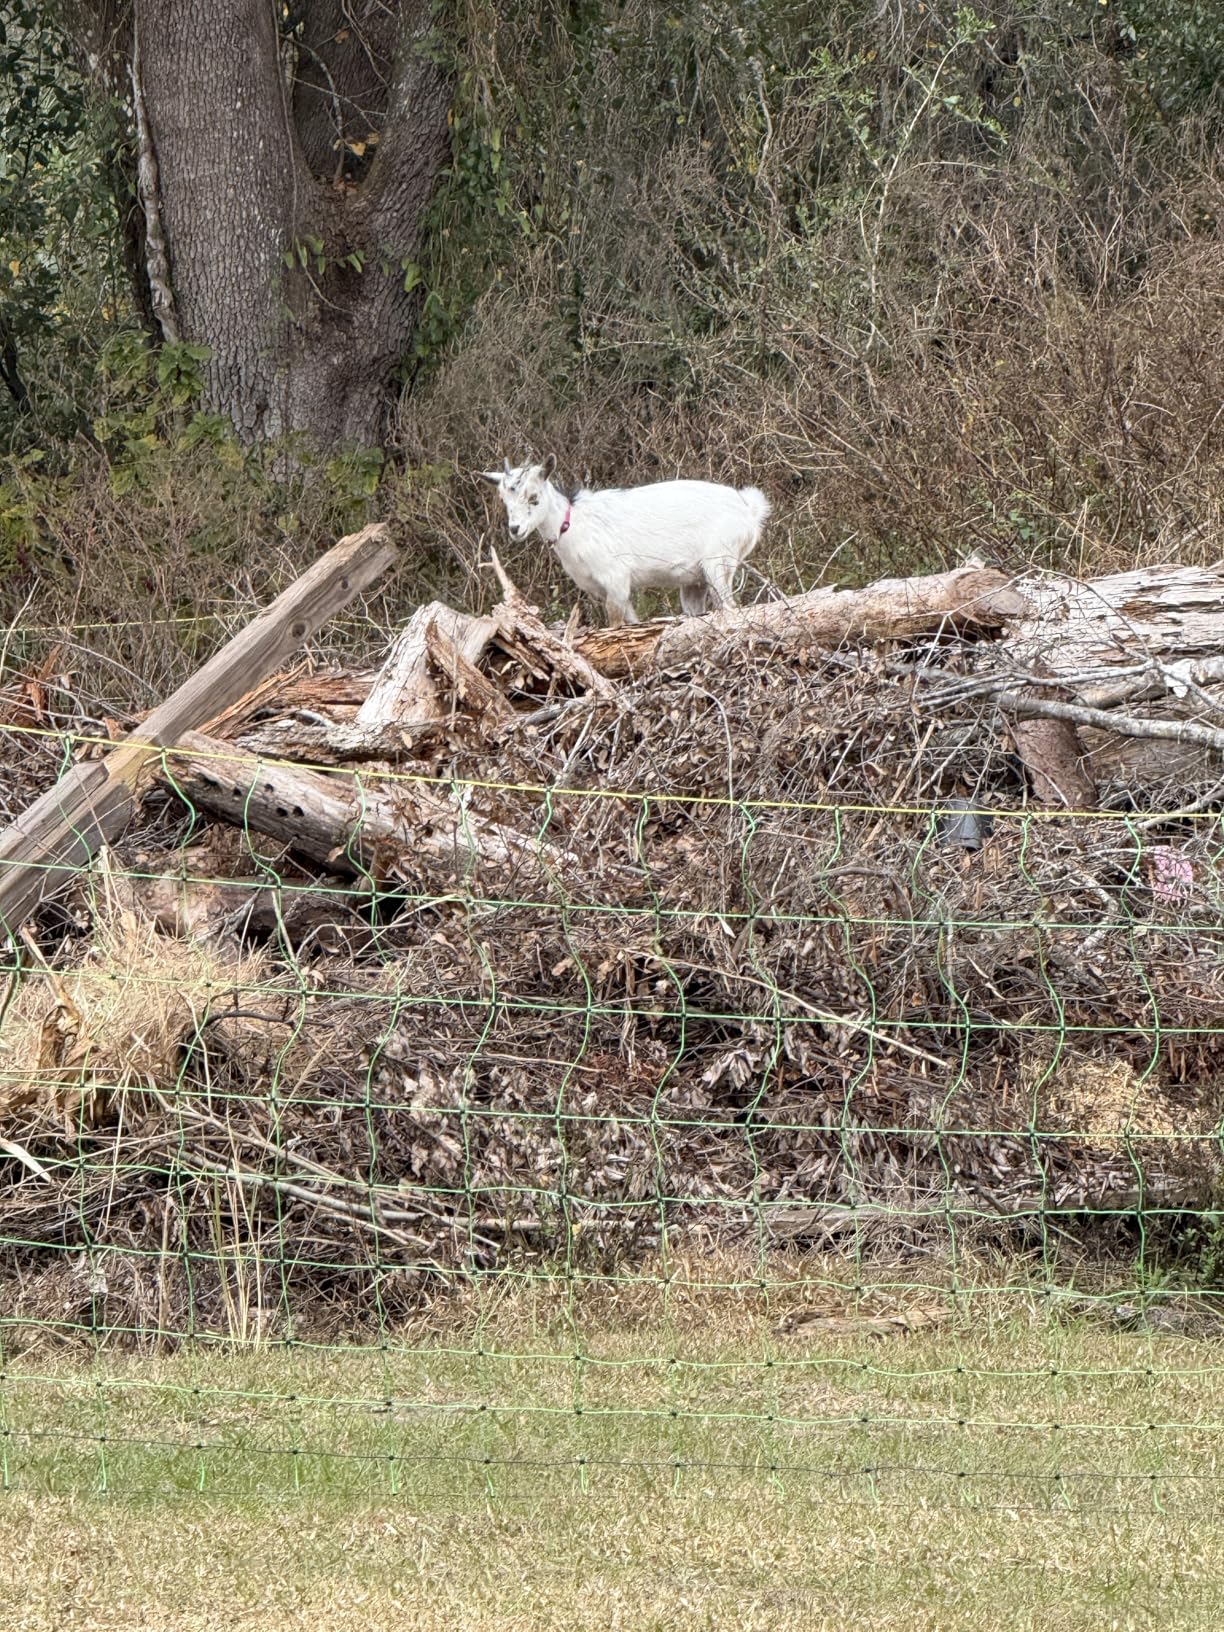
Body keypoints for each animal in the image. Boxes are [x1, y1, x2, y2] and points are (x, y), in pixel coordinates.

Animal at [480, 454, 771, 626]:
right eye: (504, 500)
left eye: (534, 498)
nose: (515, 529)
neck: (574, 523)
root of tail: (749, 509)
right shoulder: (607, 590)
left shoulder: (615, 580)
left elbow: (615, 626)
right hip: (695, 580)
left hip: (718, 563)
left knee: (730, 607)